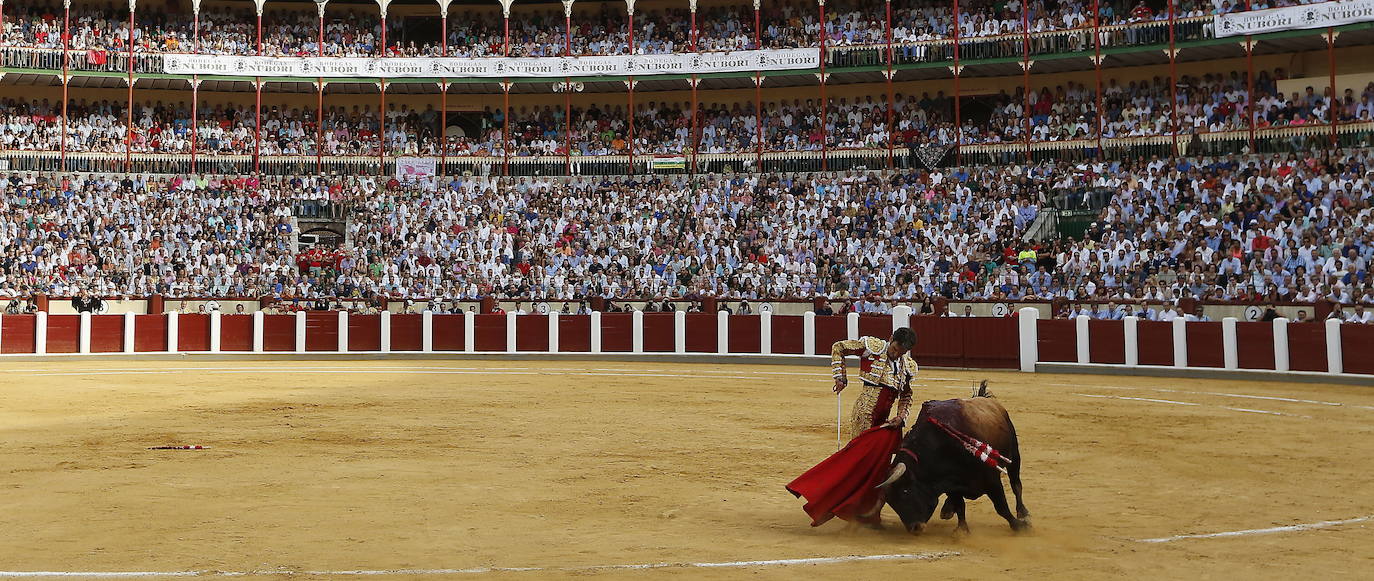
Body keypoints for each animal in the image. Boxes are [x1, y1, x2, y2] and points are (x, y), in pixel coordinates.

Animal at [879, 392, 1033, 535]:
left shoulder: (991, 480)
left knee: (1016, 485)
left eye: (905, 491)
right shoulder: (952, 484)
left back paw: (1023, 513)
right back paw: (947, 509)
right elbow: (960, 506)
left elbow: (1001, 507)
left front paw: (1019, 525)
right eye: (891, 501)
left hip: (1014, 455)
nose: (915, 528)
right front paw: (962, 531)